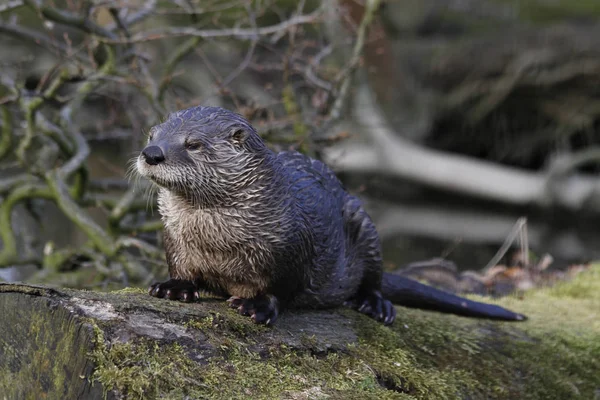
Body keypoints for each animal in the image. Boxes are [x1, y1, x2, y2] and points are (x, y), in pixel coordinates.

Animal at [136, 105, 524, 324]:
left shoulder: (292, 245)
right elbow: (181, 267)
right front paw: (174, 287)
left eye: (193, 143)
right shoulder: (174, 237)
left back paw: (376, 305)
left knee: (374, 279)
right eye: (152, 133)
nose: (151, 152)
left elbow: (281, 286)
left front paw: (257, 306)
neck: (217, 239)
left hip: (364, 225)